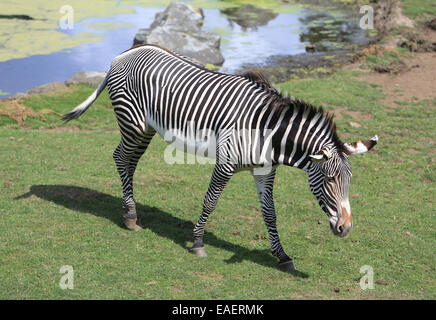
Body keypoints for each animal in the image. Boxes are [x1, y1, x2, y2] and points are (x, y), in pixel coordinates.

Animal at [62, 43, 378, 272]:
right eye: (330, 179)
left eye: (349, 180)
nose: (346, 228)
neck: (267, 132)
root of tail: (125, 53)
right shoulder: (225, 165)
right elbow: (210, 201)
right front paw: (198, 242)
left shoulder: (265, 171)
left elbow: (270, 213)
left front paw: (282, 256)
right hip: (133, 122)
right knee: (119, 157)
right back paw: (129, 216)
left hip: (146, 128)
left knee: (128, 161)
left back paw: (131, 210)